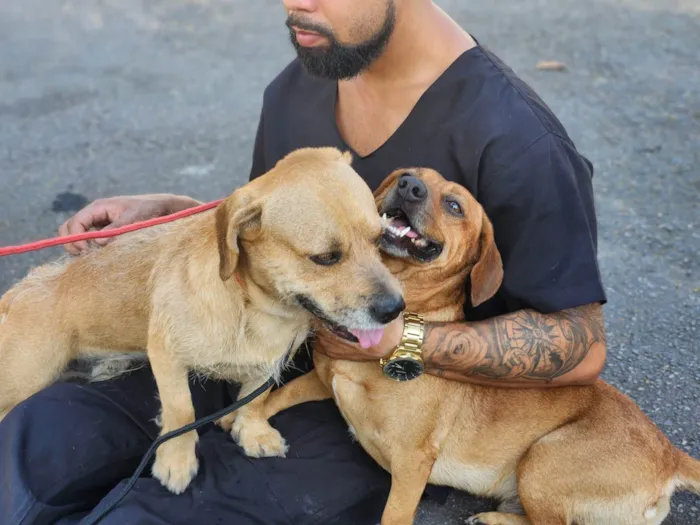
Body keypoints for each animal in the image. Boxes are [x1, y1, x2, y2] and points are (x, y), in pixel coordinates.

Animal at [0, 147, 404, 496]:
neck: (252, 307)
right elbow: (182, 409)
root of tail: (15, 292)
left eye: (380, 238)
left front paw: (252, 431)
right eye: (325, 258)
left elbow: (255, 399)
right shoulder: (166, 355)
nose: (395, 308)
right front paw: (176, 460)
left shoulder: (267, 364)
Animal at [262, 168, 700, 524]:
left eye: (455, 205)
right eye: (405, 174)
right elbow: (271, 397)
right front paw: (249, 426)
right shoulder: (324, 381)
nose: (409, 185)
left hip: (542, 461)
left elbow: (393, 516)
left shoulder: (411, 465)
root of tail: (670, 455)